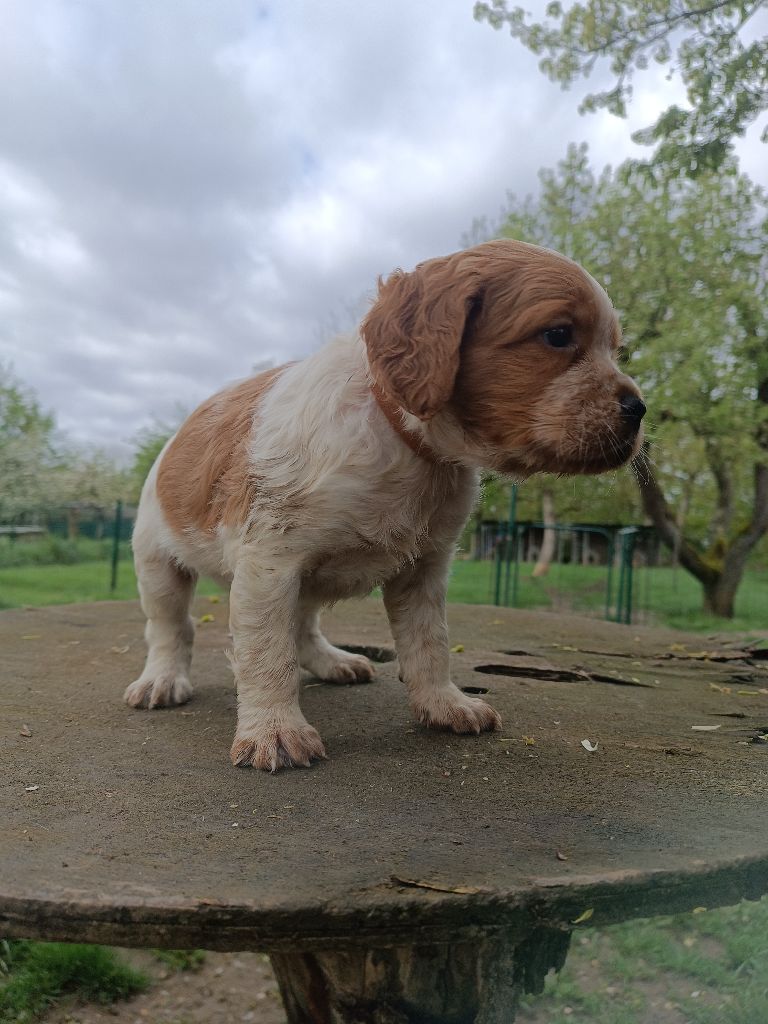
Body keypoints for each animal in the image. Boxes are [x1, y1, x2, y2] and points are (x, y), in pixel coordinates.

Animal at [124, 239, 643, 770]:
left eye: (616, 349)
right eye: (557, 335)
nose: (638, 409)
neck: (408, 445)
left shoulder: (424, 569)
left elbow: (430, 643)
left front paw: (444, 704)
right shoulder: (270, 562)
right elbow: (268, 653)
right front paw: (275, 731)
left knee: (303, 626)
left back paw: (331, 661)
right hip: (158, 562)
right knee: (171, 627)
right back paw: (162, 680)